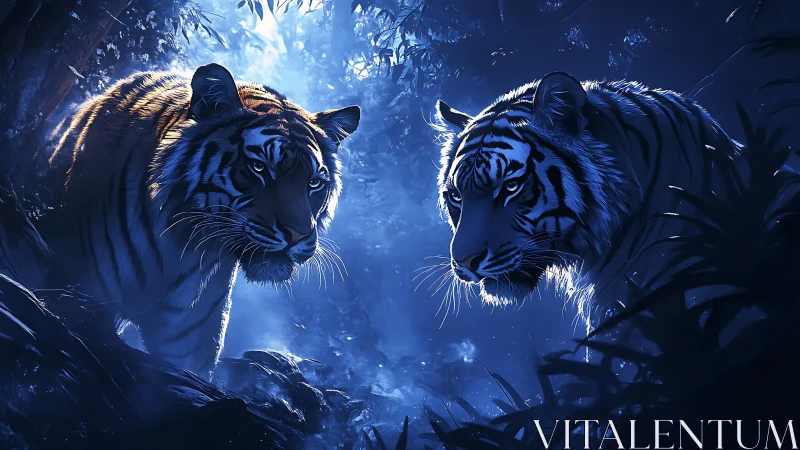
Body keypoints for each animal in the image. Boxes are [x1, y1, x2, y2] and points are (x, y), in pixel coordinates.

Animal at [41, 63, 360, 379]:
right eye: (259, 167)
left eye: (314, 183)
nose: (298, 235)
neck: (183, 244)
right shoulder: (83, 297)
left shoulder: (188, 346)